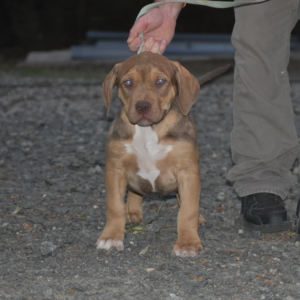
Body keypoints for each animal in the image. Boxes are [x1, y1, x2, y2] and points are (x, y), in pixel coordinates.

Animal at [96, 51, 230, 258]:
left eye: (160, 81)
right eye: (128, 83)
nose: (142, 106)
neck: (149, 130)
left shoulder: (188, 172)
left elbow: (188, 209)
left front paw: (188, 242)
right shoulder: (115, 170)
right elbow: (114, 206)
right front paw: (111, 236)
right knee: (134, 192)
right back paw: (132, 212)